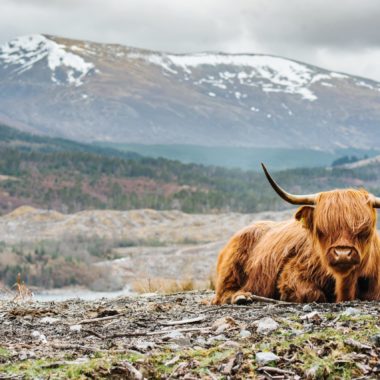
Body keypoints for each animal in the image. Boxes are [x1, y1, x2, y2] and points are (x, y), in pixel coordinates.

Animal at [212, 165, 380, 304]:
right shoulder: (292, 274)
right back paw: (241, 297)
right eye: (321, 230)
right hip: (231, 267)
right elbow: (313, 294)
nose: (343, 254)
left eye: (365, 230)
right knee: (222, 293)